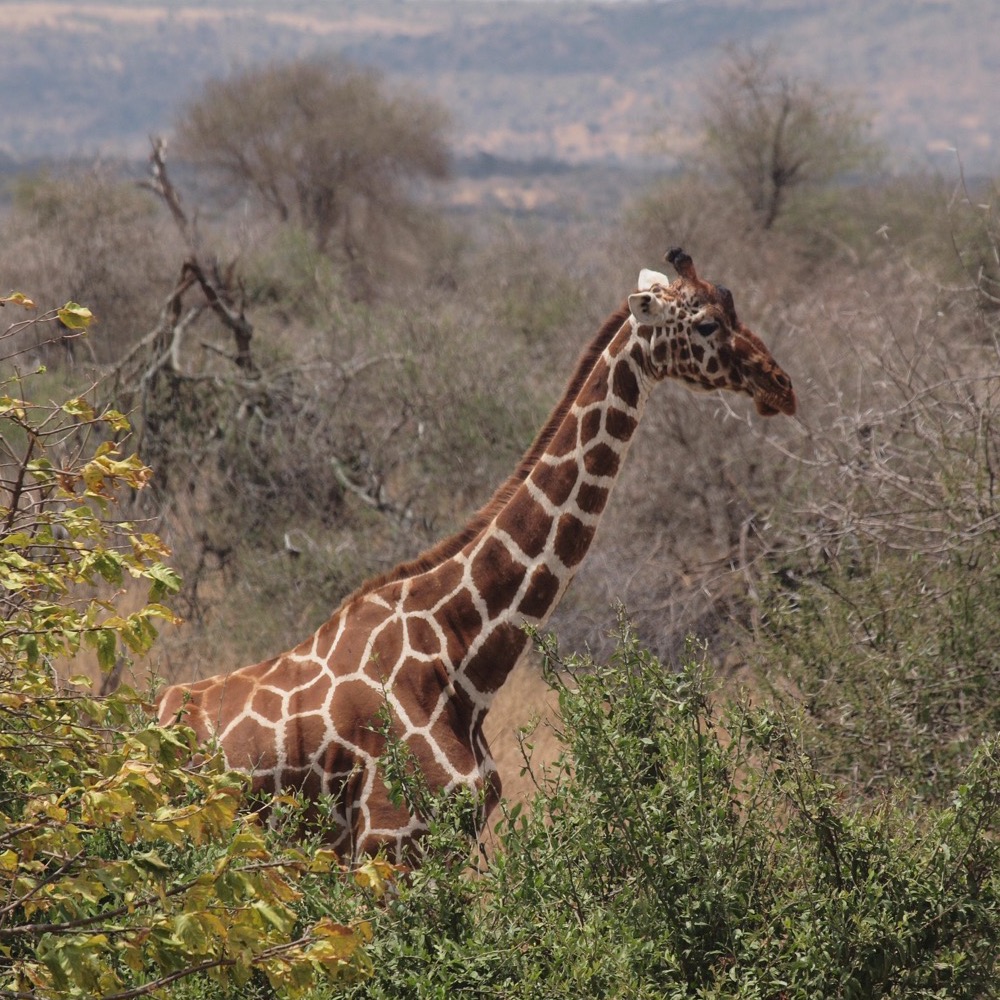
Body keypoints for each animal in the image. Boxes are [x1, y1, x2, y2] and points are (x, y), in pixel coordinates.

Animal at [158, 247, 796, 862]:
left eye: (733, 305)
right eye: (708, 323)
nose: (781, 386)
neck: (461, 657)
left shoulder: (448, 841)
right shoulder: (389, 838)